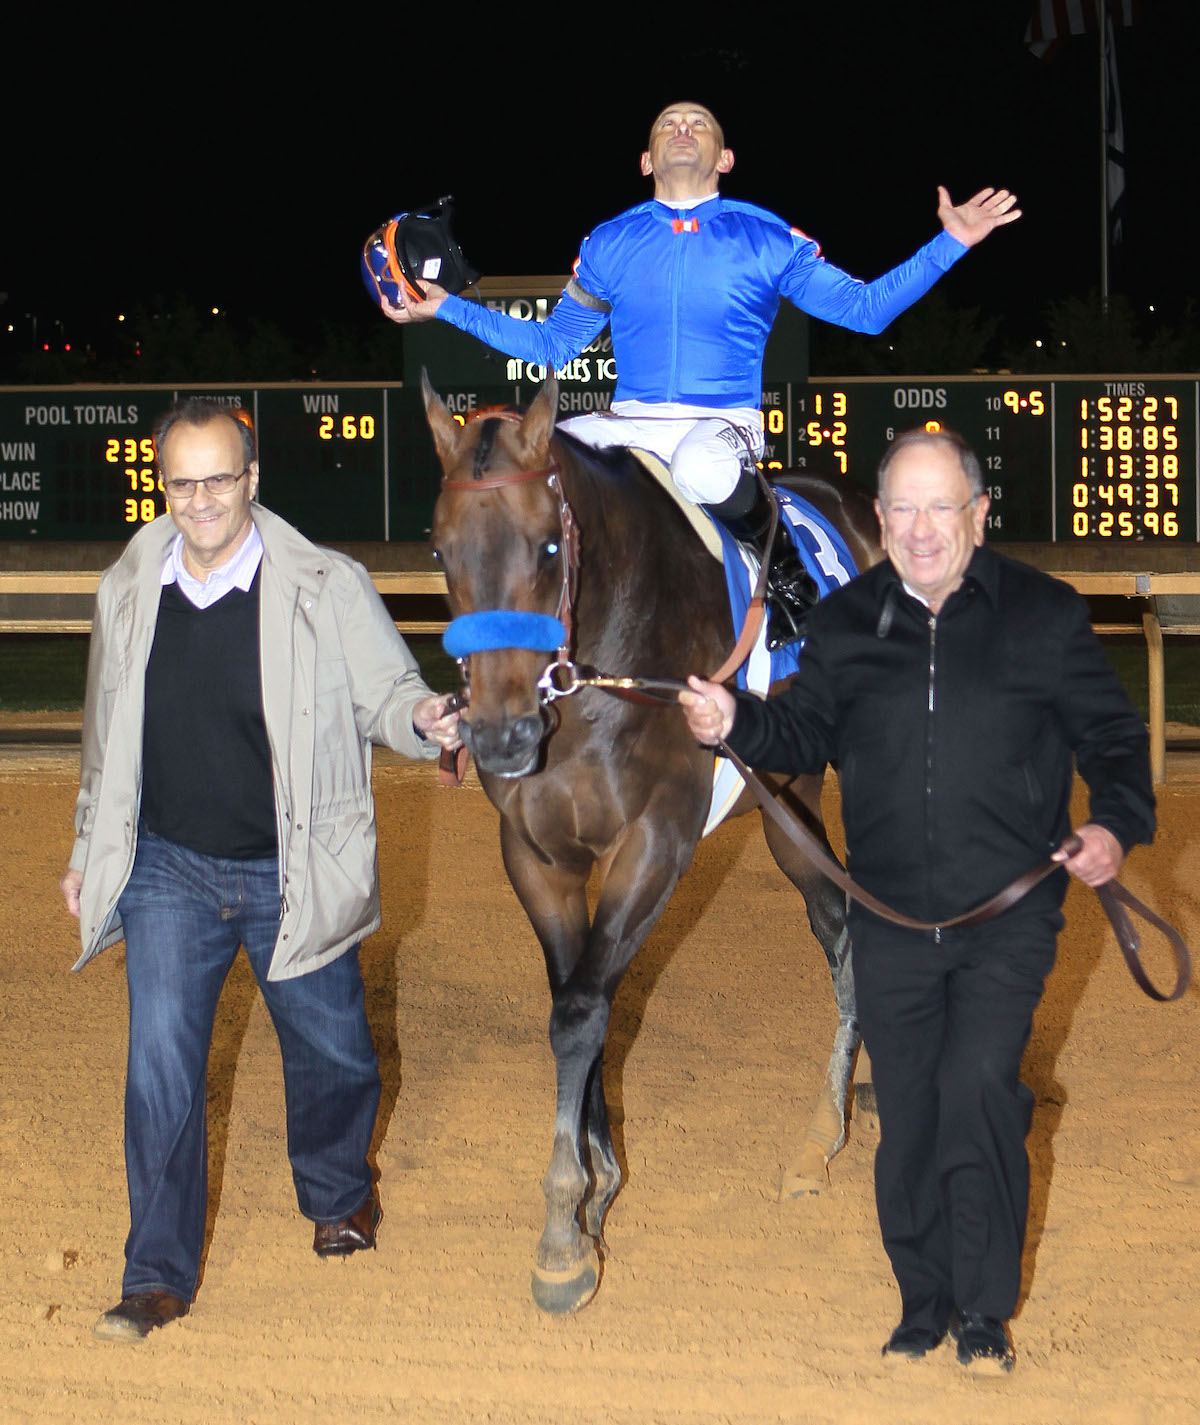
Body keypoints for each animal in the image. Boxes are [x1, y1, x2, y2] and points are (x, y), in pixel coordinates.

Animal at [421, 376, 877, 1311]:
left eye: (547, 545)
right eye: (442, 550)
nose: (501, 737)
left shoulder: (655, 842)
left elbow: (585, 1009)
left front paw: (563, 1235)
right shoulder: (539, 855)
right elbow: (574, 1000)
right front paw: (594, 1190)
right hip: (788, 804)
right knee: (840, 917)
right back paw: (831, 1121)